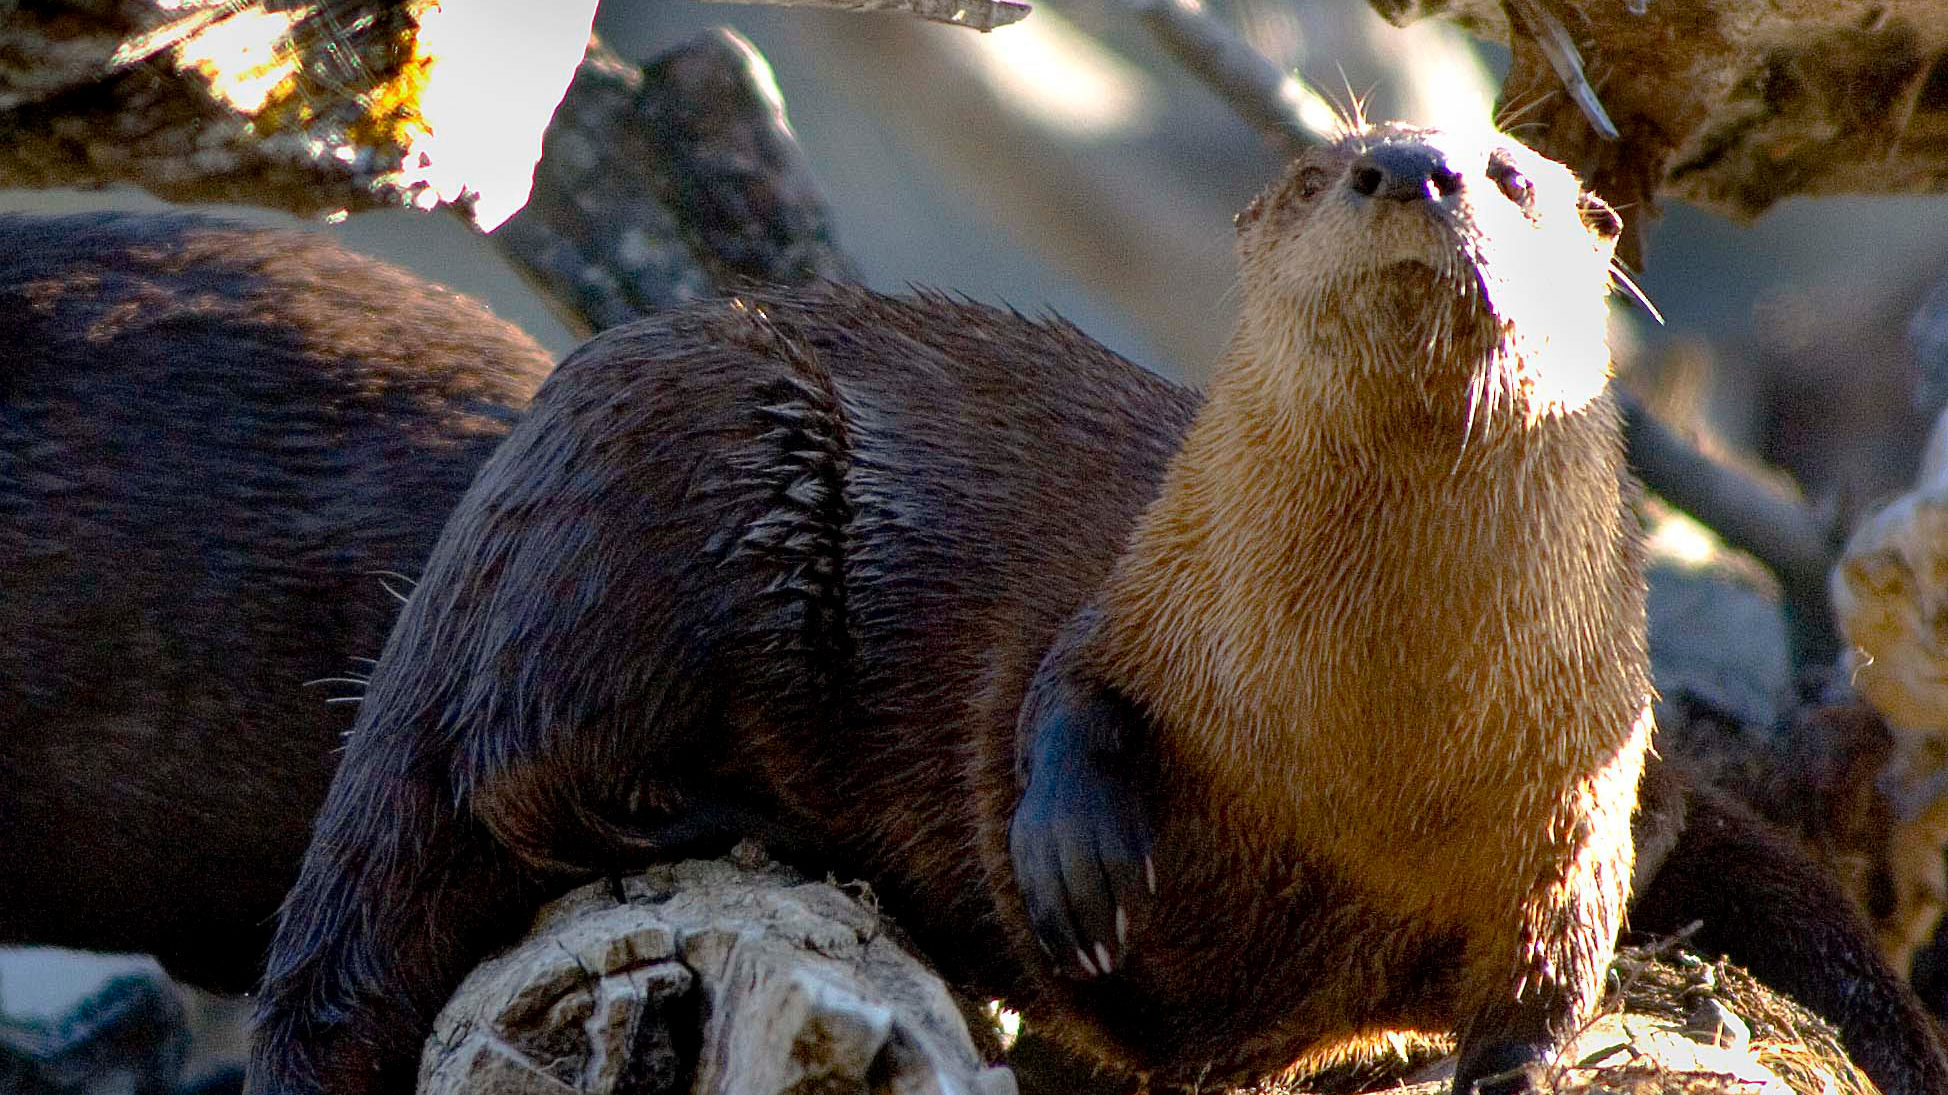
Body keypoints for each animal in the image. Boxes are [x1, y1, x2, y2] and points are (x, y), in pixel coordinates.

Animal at [250, 124, 1948, 1095]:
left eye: (1517, 173)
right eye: (1336, 165)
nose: (1419, 170)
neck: (1372, 732)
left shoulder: (1589, 768)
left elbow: (1556, 943)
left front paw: (1515, 1063)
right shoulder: (1143, 596)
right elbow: (1059, 687)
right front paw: (1074, 867)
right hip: (698, 480)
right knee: (510, 756)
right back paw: (756, 816)